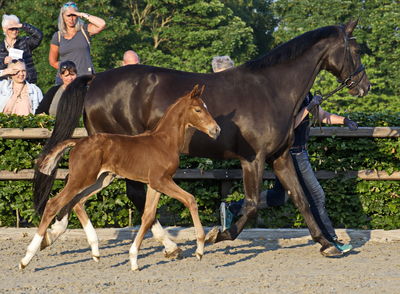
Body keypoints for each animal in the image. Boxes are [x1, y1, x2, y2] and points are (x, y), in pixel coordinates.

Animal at [19, 85, 219, 272]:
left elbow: (148, 216)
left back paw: (95, 251)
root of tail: (78, 142)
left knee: (77, 202)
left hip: (101, 179)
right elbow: (190, 199)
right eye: (198, 109)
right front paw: (199, 249)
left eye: (206, 107)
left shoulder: (154, 184)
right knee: (54, 203)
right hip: (80, 179)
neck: (164, 141)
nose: (216, 130)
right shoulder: (161, 181)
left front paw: (134, 260)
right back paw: (26, 258)